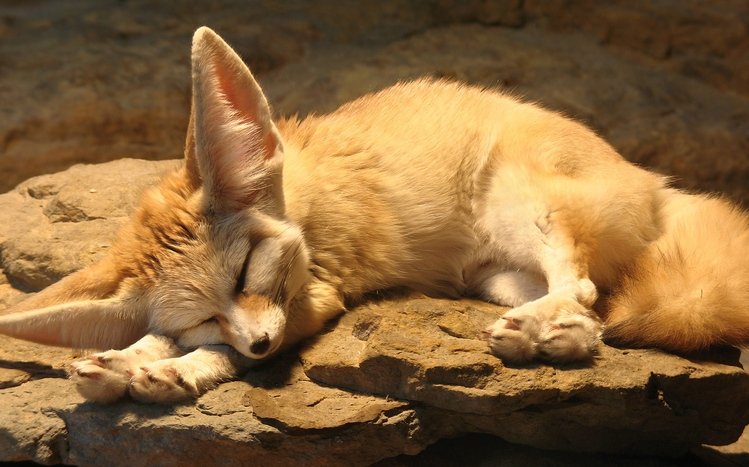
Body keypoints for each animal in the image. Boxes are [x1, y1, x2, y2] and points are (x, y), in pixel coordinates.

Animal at [1, 27, 748, 404]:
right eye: (200, 313)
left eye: (245, 271)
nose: (263, 346)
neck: (297, 198)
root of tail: (653, 182)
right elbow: (161, 338)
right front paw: (124, 360)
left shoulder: (311, 299)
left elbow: (216, 355)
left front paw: (175, 370)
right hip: (496, 277)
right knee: (594, 313)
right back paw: (549, 338)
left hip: (522, 207)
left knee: (586, 288)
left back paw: (542, 330)